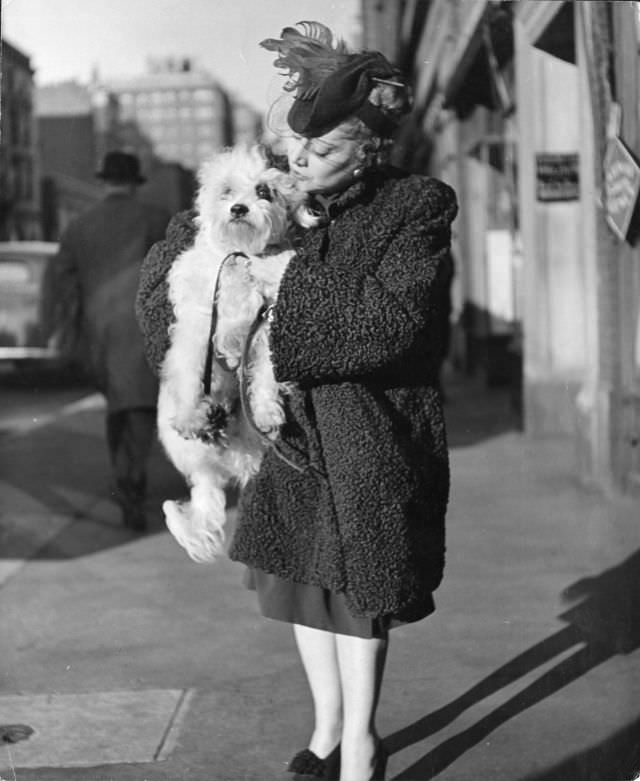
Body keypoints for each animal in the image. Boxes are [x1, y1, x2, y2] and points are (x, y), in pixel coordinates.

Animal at [160, 145, 300, 560]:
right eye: (226, 191)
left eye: (263, 191)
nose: (239, 208)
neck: (239, 255)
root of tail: (208, 474)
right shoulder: (198, 328)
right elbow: (192, 373)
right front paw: (189, 414)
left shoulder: (266, 329)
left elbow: (266, 376)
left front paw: (268, 411)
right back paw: (200, 419)